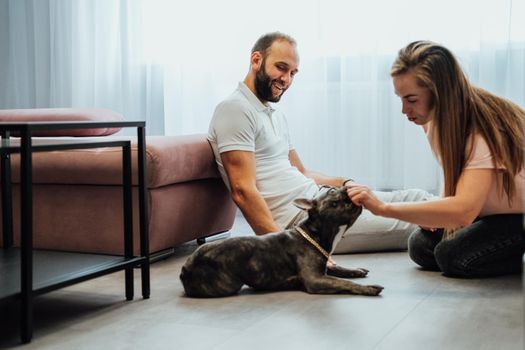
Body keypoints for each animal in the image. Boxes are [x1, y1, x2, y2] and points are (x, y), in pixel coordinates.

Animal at [179, 186, 380, 298]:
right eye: (332, 193)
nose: (347, 186)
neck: (314, 233)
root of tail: (185, 267)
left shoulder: (322, 268)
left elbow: (336, 269)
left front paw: (354, 270)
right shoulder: (315, 279)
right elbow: (343, 283)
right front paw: (369, 288)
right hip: (228, 284)